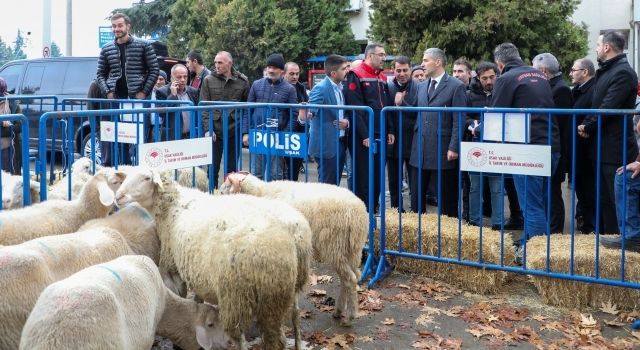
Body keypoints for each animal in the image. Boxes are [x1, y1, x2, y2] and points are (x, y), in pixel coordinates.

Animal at [115, 167, 316, 350]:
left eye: (147, 178)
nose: (118, 196)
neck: (175, 205)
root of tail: (294, 233)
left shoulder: (174, 267)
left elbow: (182, 295)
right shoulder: (196, 269)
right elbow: (197, 298)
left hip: (237, 294)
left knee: (241, 336)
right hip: (284, 290)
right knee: (293, 320)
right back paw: (297, 343)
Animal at [222, 172, 368, 326]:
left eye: (225, 188)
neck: (260, 192)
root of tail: (358, 214)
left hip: (336, 247)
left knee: (350, 279)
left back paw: (350, 316)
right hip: (351, 251)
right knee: (351, 277)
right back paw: (339, 310)